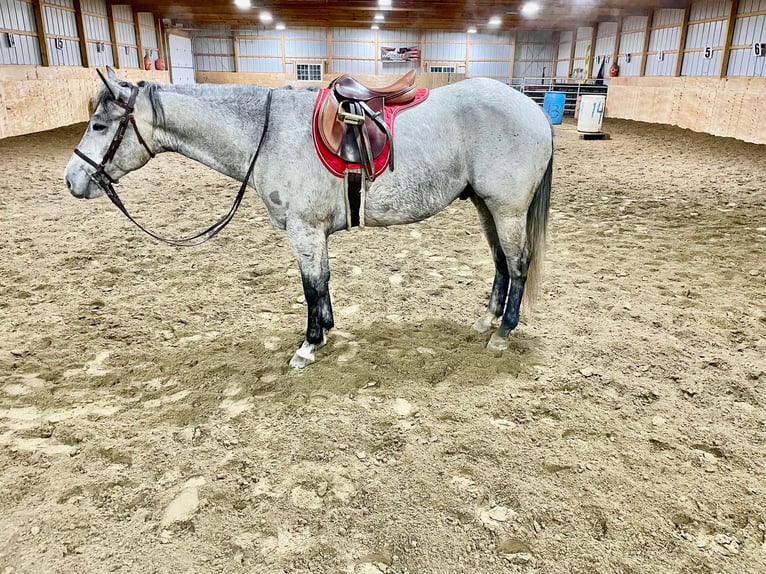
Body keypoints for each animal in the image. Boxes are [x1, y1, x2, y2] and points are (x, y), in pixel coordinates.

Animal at [64, 68, 552, 368]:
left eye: (100, 126)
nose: (72, 180)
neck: (267, 132)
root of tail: (532, 109)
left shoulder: (303, 229)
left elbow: (311, 285)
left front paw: (309, 344)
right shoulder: (314, 232)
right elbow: (323, 281)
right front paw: (327, 330)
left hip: (506, 209)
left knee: (518, 264)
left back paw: (503, 332)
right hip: (485, 205)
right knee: (500, 263)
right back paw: (485, 321)